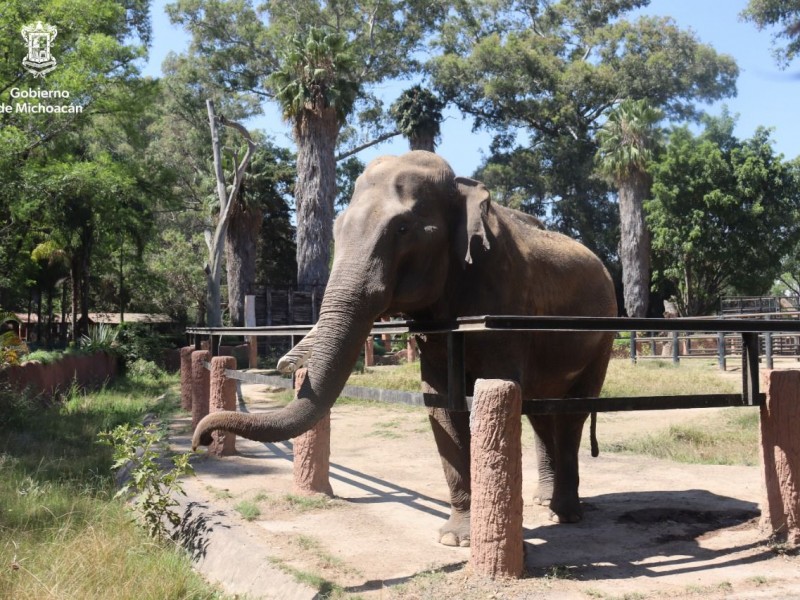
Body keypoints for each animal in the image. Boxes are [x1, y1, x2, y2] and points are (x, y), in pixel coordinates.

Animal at [191, 151, 616, 548]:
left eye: (402, 228)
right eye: (338, 228)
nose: (200, 441)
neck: (459, 189)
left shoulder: (503, 304)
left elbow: (494, 385)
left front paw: (462, 537)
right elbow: (439, 403)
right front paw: (454, 539)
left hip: (604, 334)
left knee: (573, 410)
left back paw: (565, 514)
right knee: (542, 411)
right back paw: (545, 501)